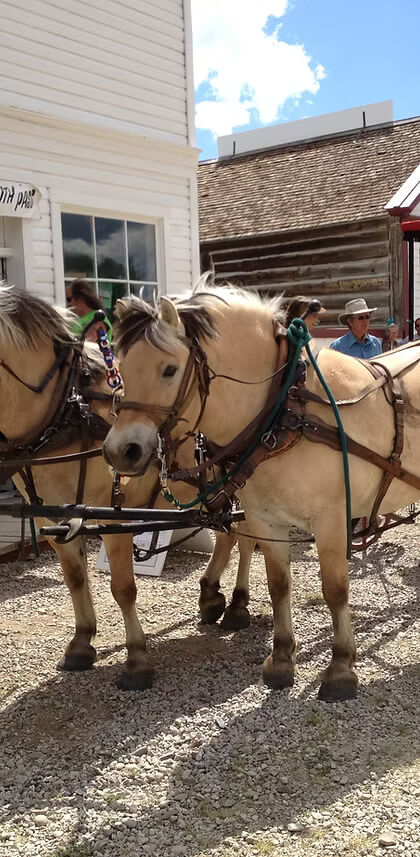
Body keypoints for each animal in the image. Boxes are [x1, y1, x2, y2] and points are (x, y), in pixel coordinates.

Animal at [0, 285, 254, 691]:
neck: (66, 413)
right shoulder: (51, 521)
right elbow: (75, 579)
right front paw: (81, 642)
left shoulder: (113, 518)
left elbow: (122, 588)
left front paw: (136, 659)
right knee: (228, 534)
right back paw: (211, 595)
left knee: (245, 538)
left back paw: (238, 604)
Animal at [103, 287, 420, 701]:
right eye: (120, 371)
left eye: (169, 370)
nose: (119, 451)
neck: (286, 409)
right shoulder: (266, 519)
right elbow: (278, 585)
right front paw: (282, 658)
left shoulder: (332, 519)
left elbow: (334, 589)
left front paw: (340, 667)